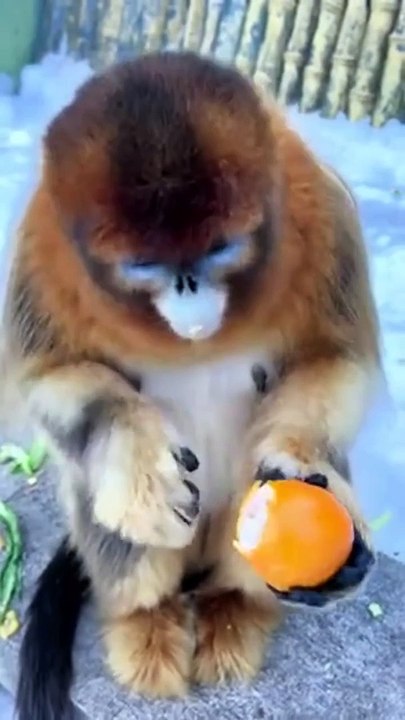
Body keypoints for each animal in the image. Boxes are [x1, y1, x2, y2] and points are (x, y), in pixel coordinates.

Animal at [0, 51, 380, 720]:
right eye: (146, 265)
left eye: (219, 248)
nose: (187, 286)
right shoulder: (42, 254)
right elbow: (56, 380)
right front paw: (135, 459)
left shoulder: (323, 210)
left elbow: (333, 361)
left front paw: (300, 456)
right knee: (101, 495)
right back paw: (145, 619)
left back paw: (236, 605)